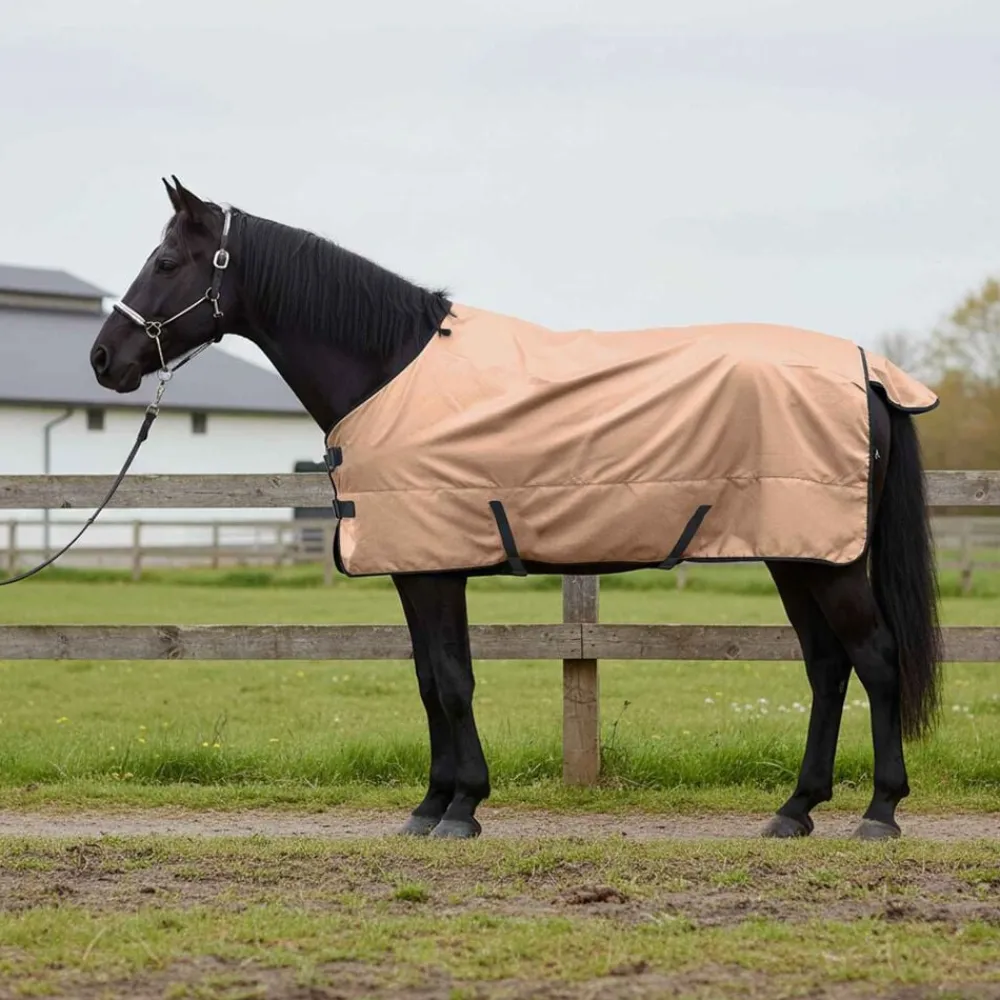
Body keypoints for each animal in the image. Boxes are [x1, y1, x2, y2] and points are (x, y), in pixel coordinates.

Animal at [89, 177, 943, 841]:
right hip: (797, 554)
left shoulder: (433, 569)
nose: (103, 358)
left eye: (166, 261)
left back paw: (880, 812)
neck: (388, 367)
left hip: (826, 561)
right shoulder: (420, 568)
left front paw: (460, 807)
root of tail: (868, 372)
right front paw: (433, 803)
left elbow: (451, 680)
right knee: (827, 667)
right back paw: (795, 810)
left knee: (875, 659)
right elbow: (431, 679)